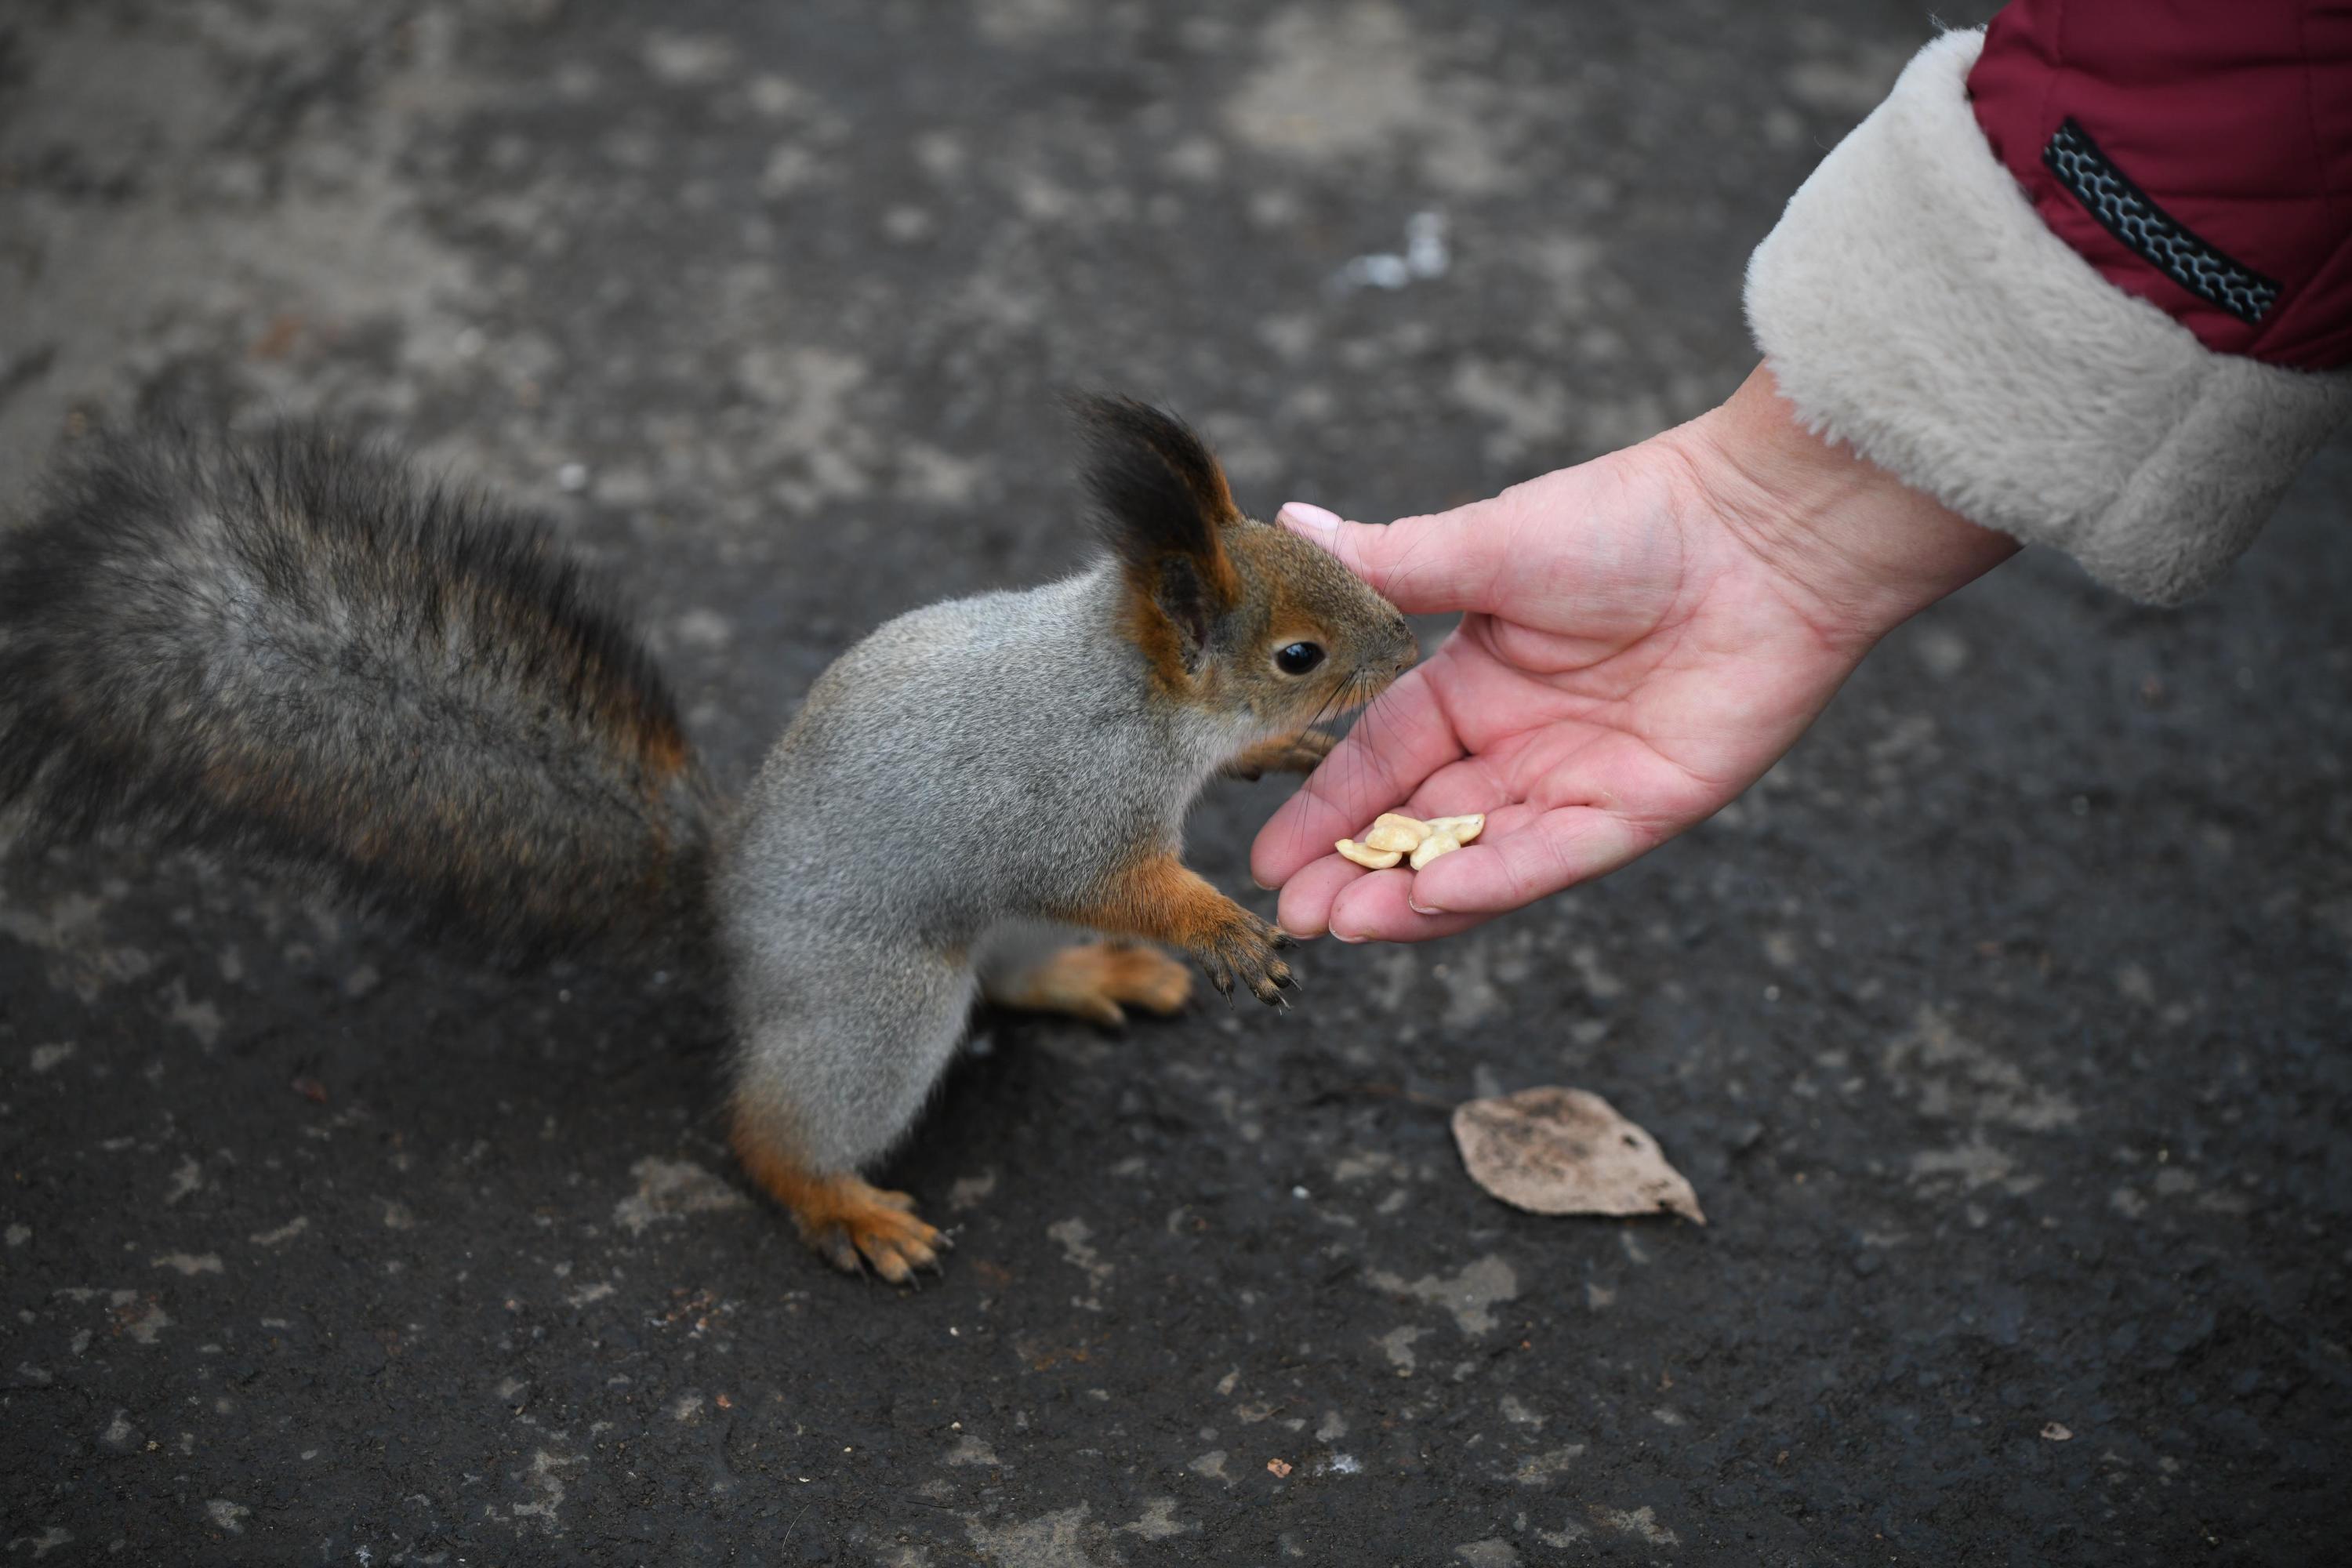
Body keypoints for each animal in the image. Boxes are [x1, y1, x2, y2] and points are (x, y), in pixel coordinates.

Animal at [0, 401, 1411, 1288]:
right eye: (1299, 651)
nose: (1405, 646)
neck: (1134, 690)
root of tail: (724, 899)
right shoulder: (1073, 808)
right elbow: (1128, 882)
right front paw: (1224, 927)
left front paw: (1282, 761)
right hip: (882, 999)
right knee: (765, 1130)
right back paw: (839, 1203)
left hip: (983, 928)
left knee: (1011, 971)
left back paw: (1086, 973)